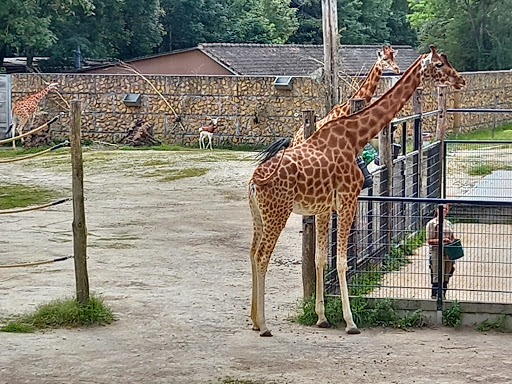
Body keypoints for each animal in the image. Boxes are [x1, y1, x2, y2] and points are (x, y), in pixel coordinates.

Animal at [246, 44, 466, 336]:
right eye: (439, 64)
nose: (461, 80)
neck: (355, 137)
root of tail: (253, 181)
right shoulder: (349, 199)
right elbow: (341, 261)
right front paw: (350, 322)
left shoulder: (324, 207)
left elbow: (320, 259)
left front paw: (322, 317)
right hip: (277, 213)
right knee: (262, 256)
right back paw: (264, 325)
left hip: (259, 216)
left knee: (251, 253)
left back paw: (254, 320)